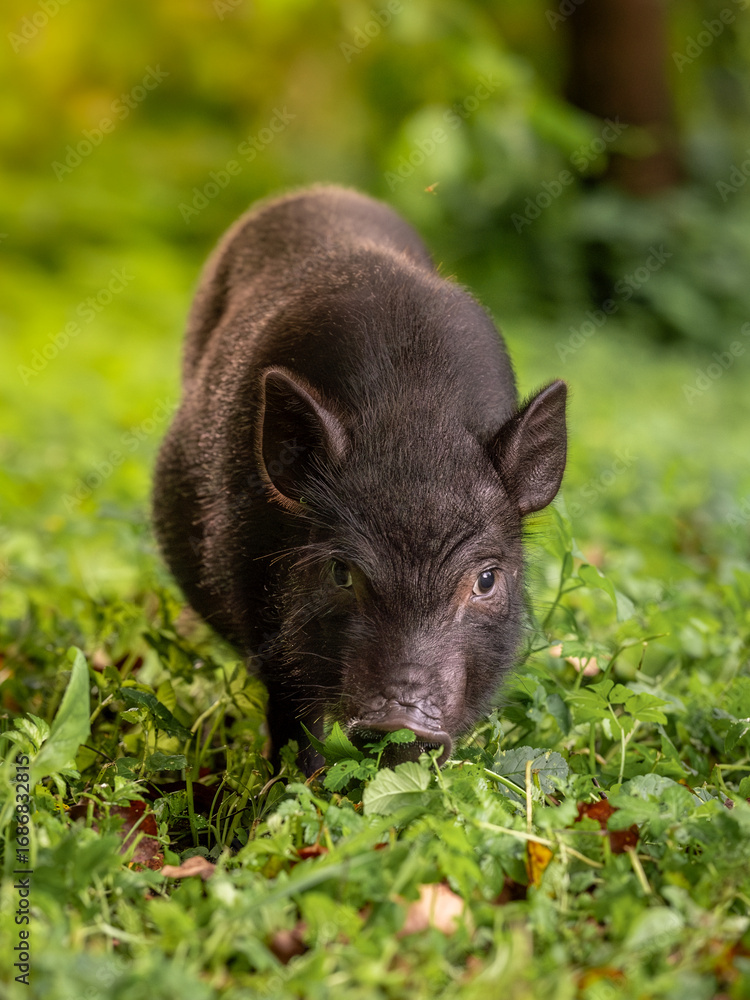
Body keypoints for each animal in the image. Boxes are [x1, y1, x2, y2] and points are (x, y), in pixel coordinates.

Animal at [152, 185, 567, 774]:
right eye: (340, 571)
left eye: (486, 580)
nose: (399, 720)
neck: (416, 426)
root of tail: (323, 191)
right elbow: (293, 709)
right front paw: (297, 781)